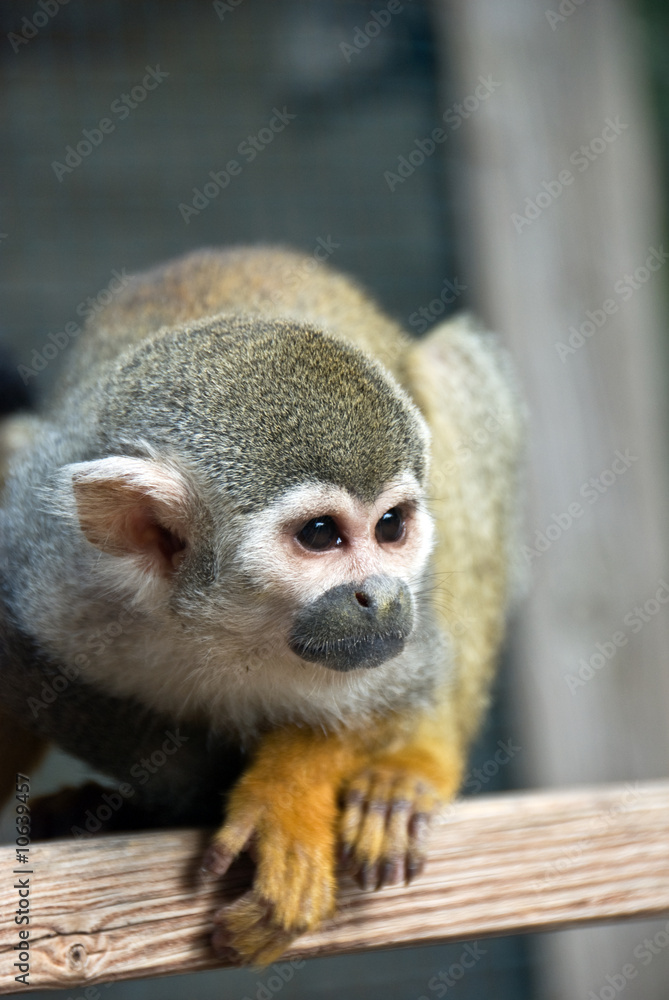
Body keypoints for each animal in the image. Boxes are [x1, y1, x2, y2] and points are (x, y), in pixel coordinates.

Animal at [0, 246, 524, 965]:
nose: (382, 595)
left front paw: (285, 797)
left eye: (391, 526)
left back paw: (414, 768)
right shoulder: (47, 566)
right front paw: (174, 793)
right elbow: (25, 667)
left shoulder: (406, 625)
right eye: (321, 535)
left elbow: (402, 684)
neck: (221, 622)